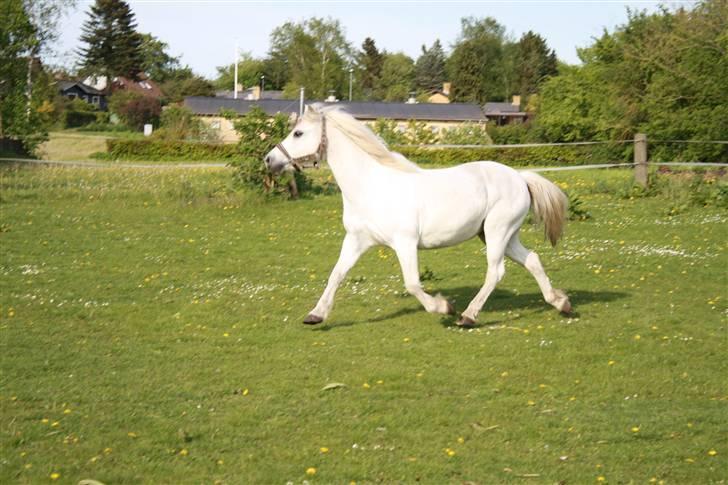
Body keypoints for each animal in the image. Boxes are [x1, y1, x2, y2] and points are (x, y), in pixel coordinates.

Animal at [264, 105, 572, 327]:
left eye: (298, 133)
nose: (269, 160)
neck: (371, 186)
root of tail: (520, 178)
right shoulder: (356, 240)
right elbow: (336, 275)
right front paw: (315, 315)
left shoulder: (405, 243)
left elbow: (412, 283)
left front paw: (443, 306)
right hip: (501, 235)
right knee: (532, 260)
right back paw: (561, 303)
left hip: (498, 232)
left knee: (496, 272)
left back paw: (467, 316)